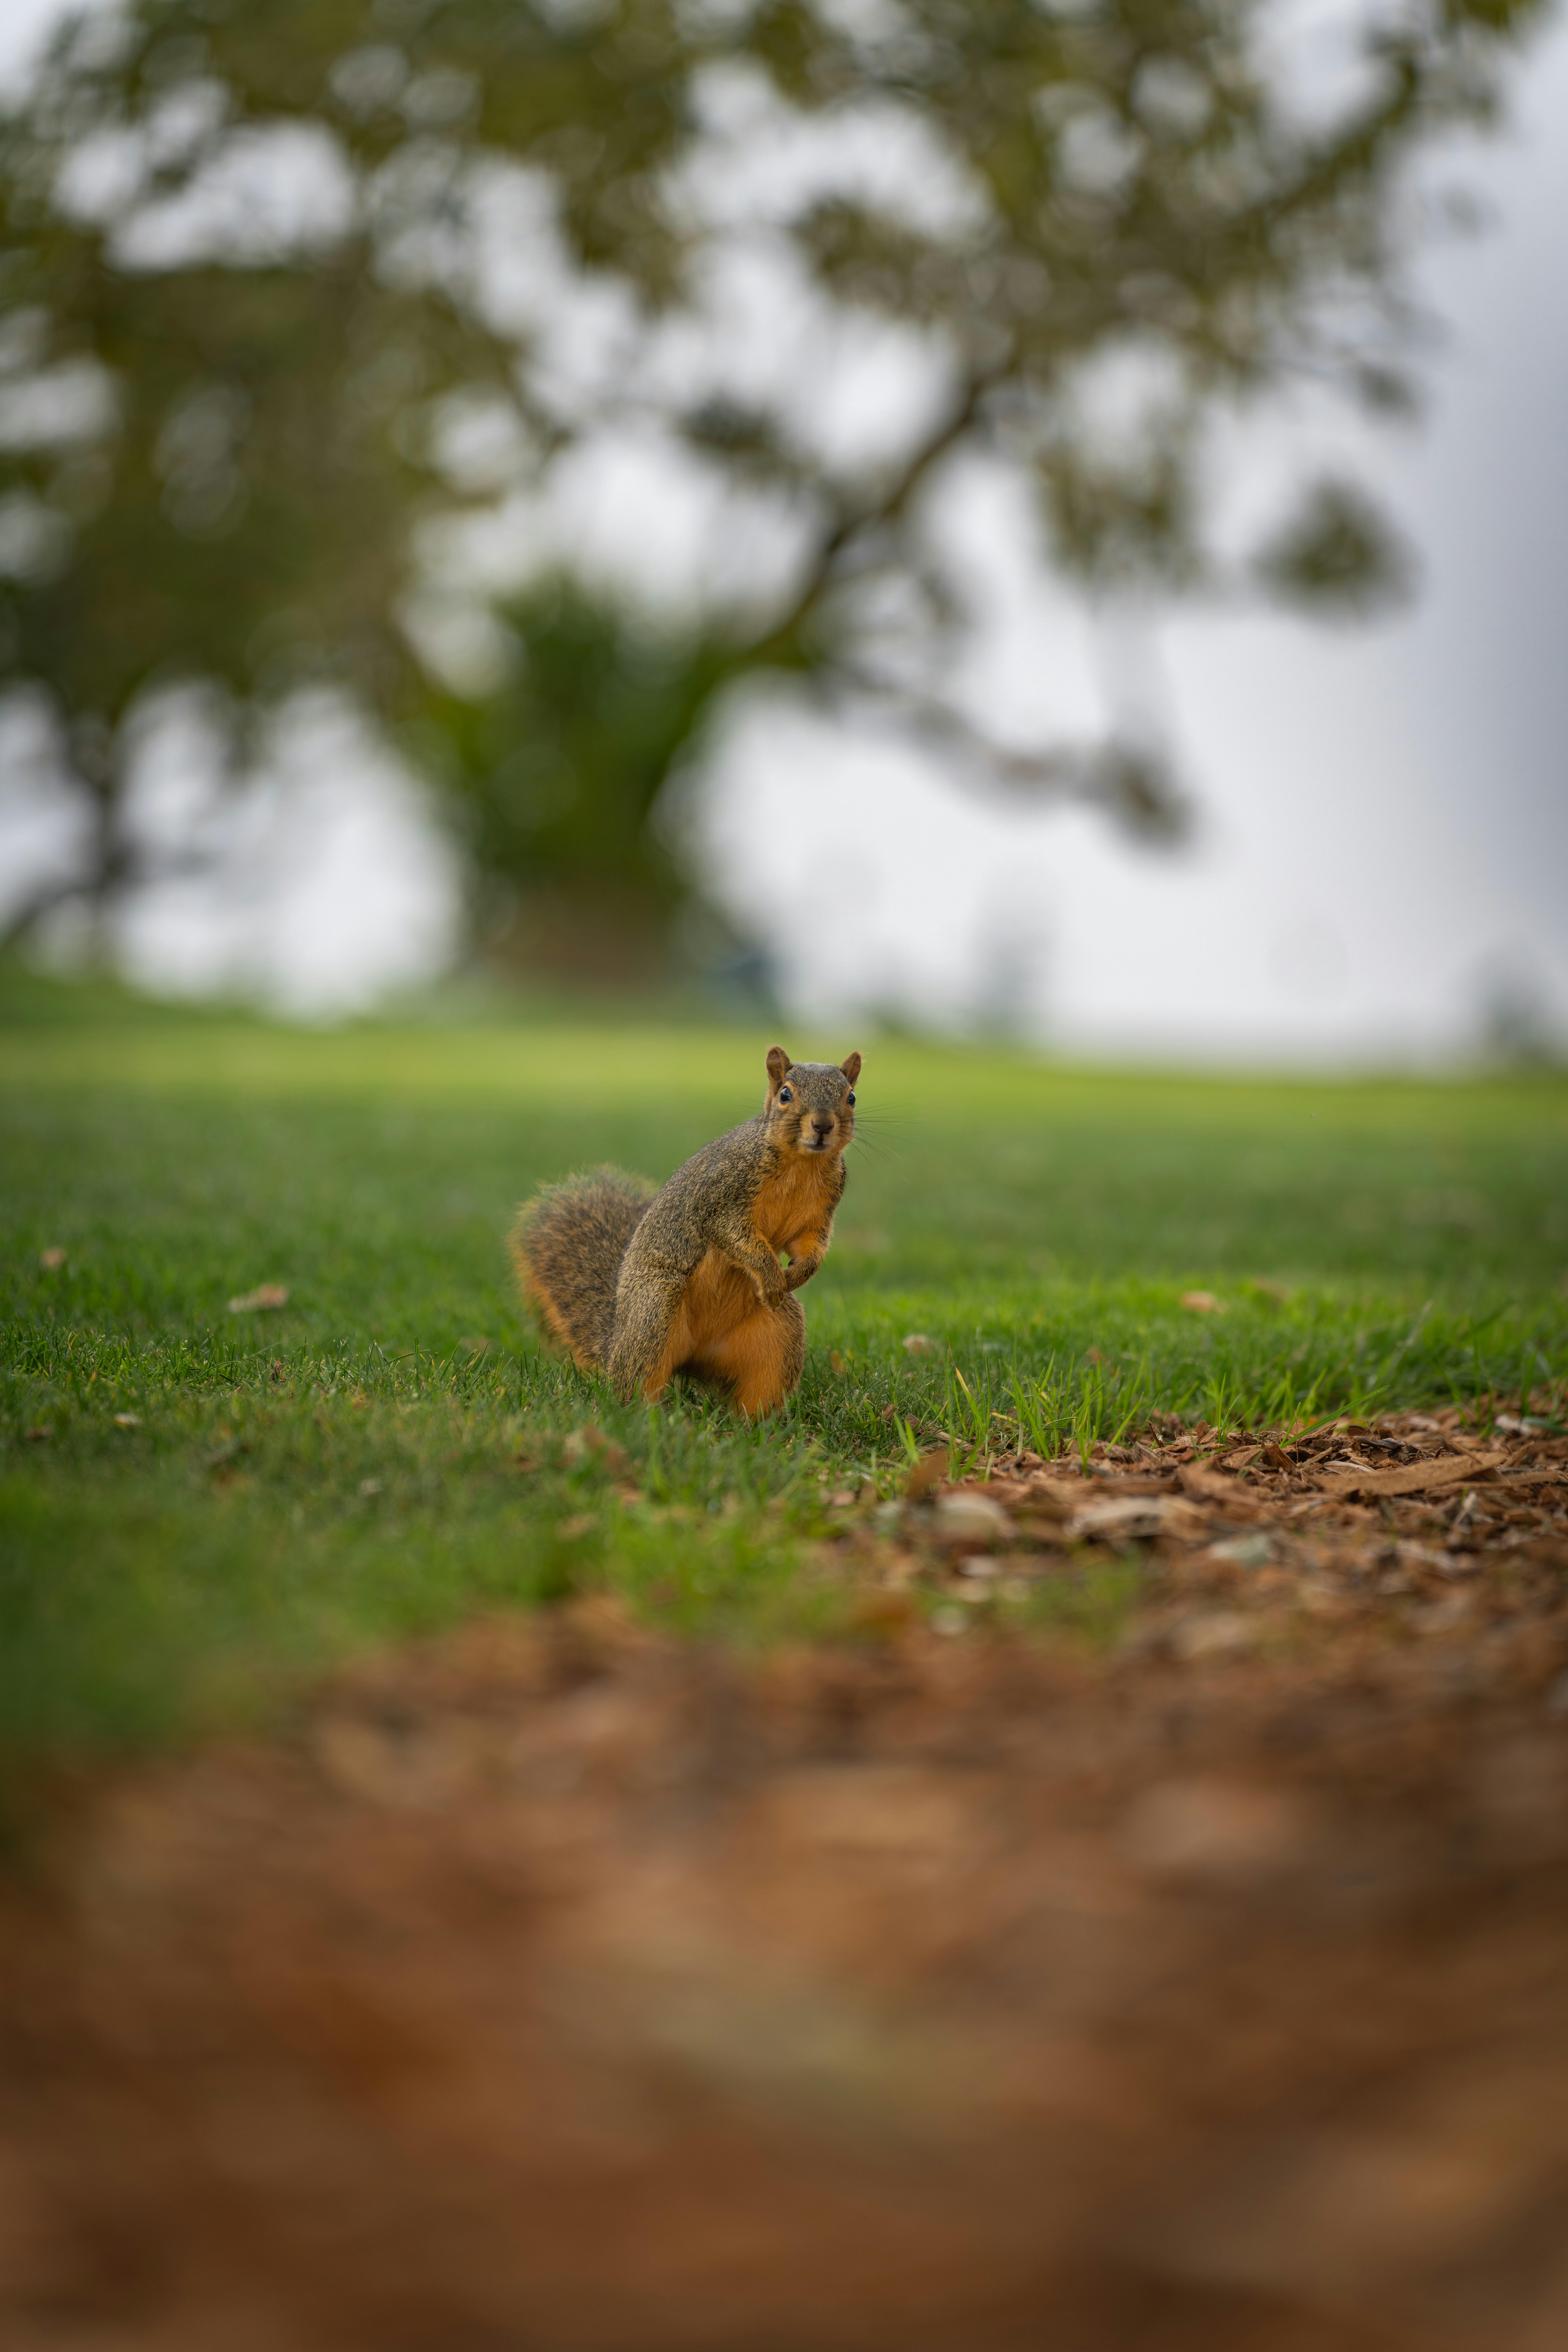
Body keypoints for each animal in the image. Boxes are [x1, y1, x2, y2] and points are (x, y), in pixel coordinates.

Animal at [510, 1045, 862, 1418]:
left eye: (851, 1097)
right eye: (785, 1095)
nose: (823, 1126)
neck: (802, 1163)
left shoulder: (820, 1213)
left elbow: (809, 1246)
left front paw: (797, 1275)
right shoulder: (723, 1196)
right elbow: (734, 1235)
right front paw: (771, 1275)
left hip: (781, 1334)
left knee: (759, 1388)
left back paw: (755, 1424)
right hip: (656, 1305)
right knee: (636, 1380)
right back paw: (649, 1415)